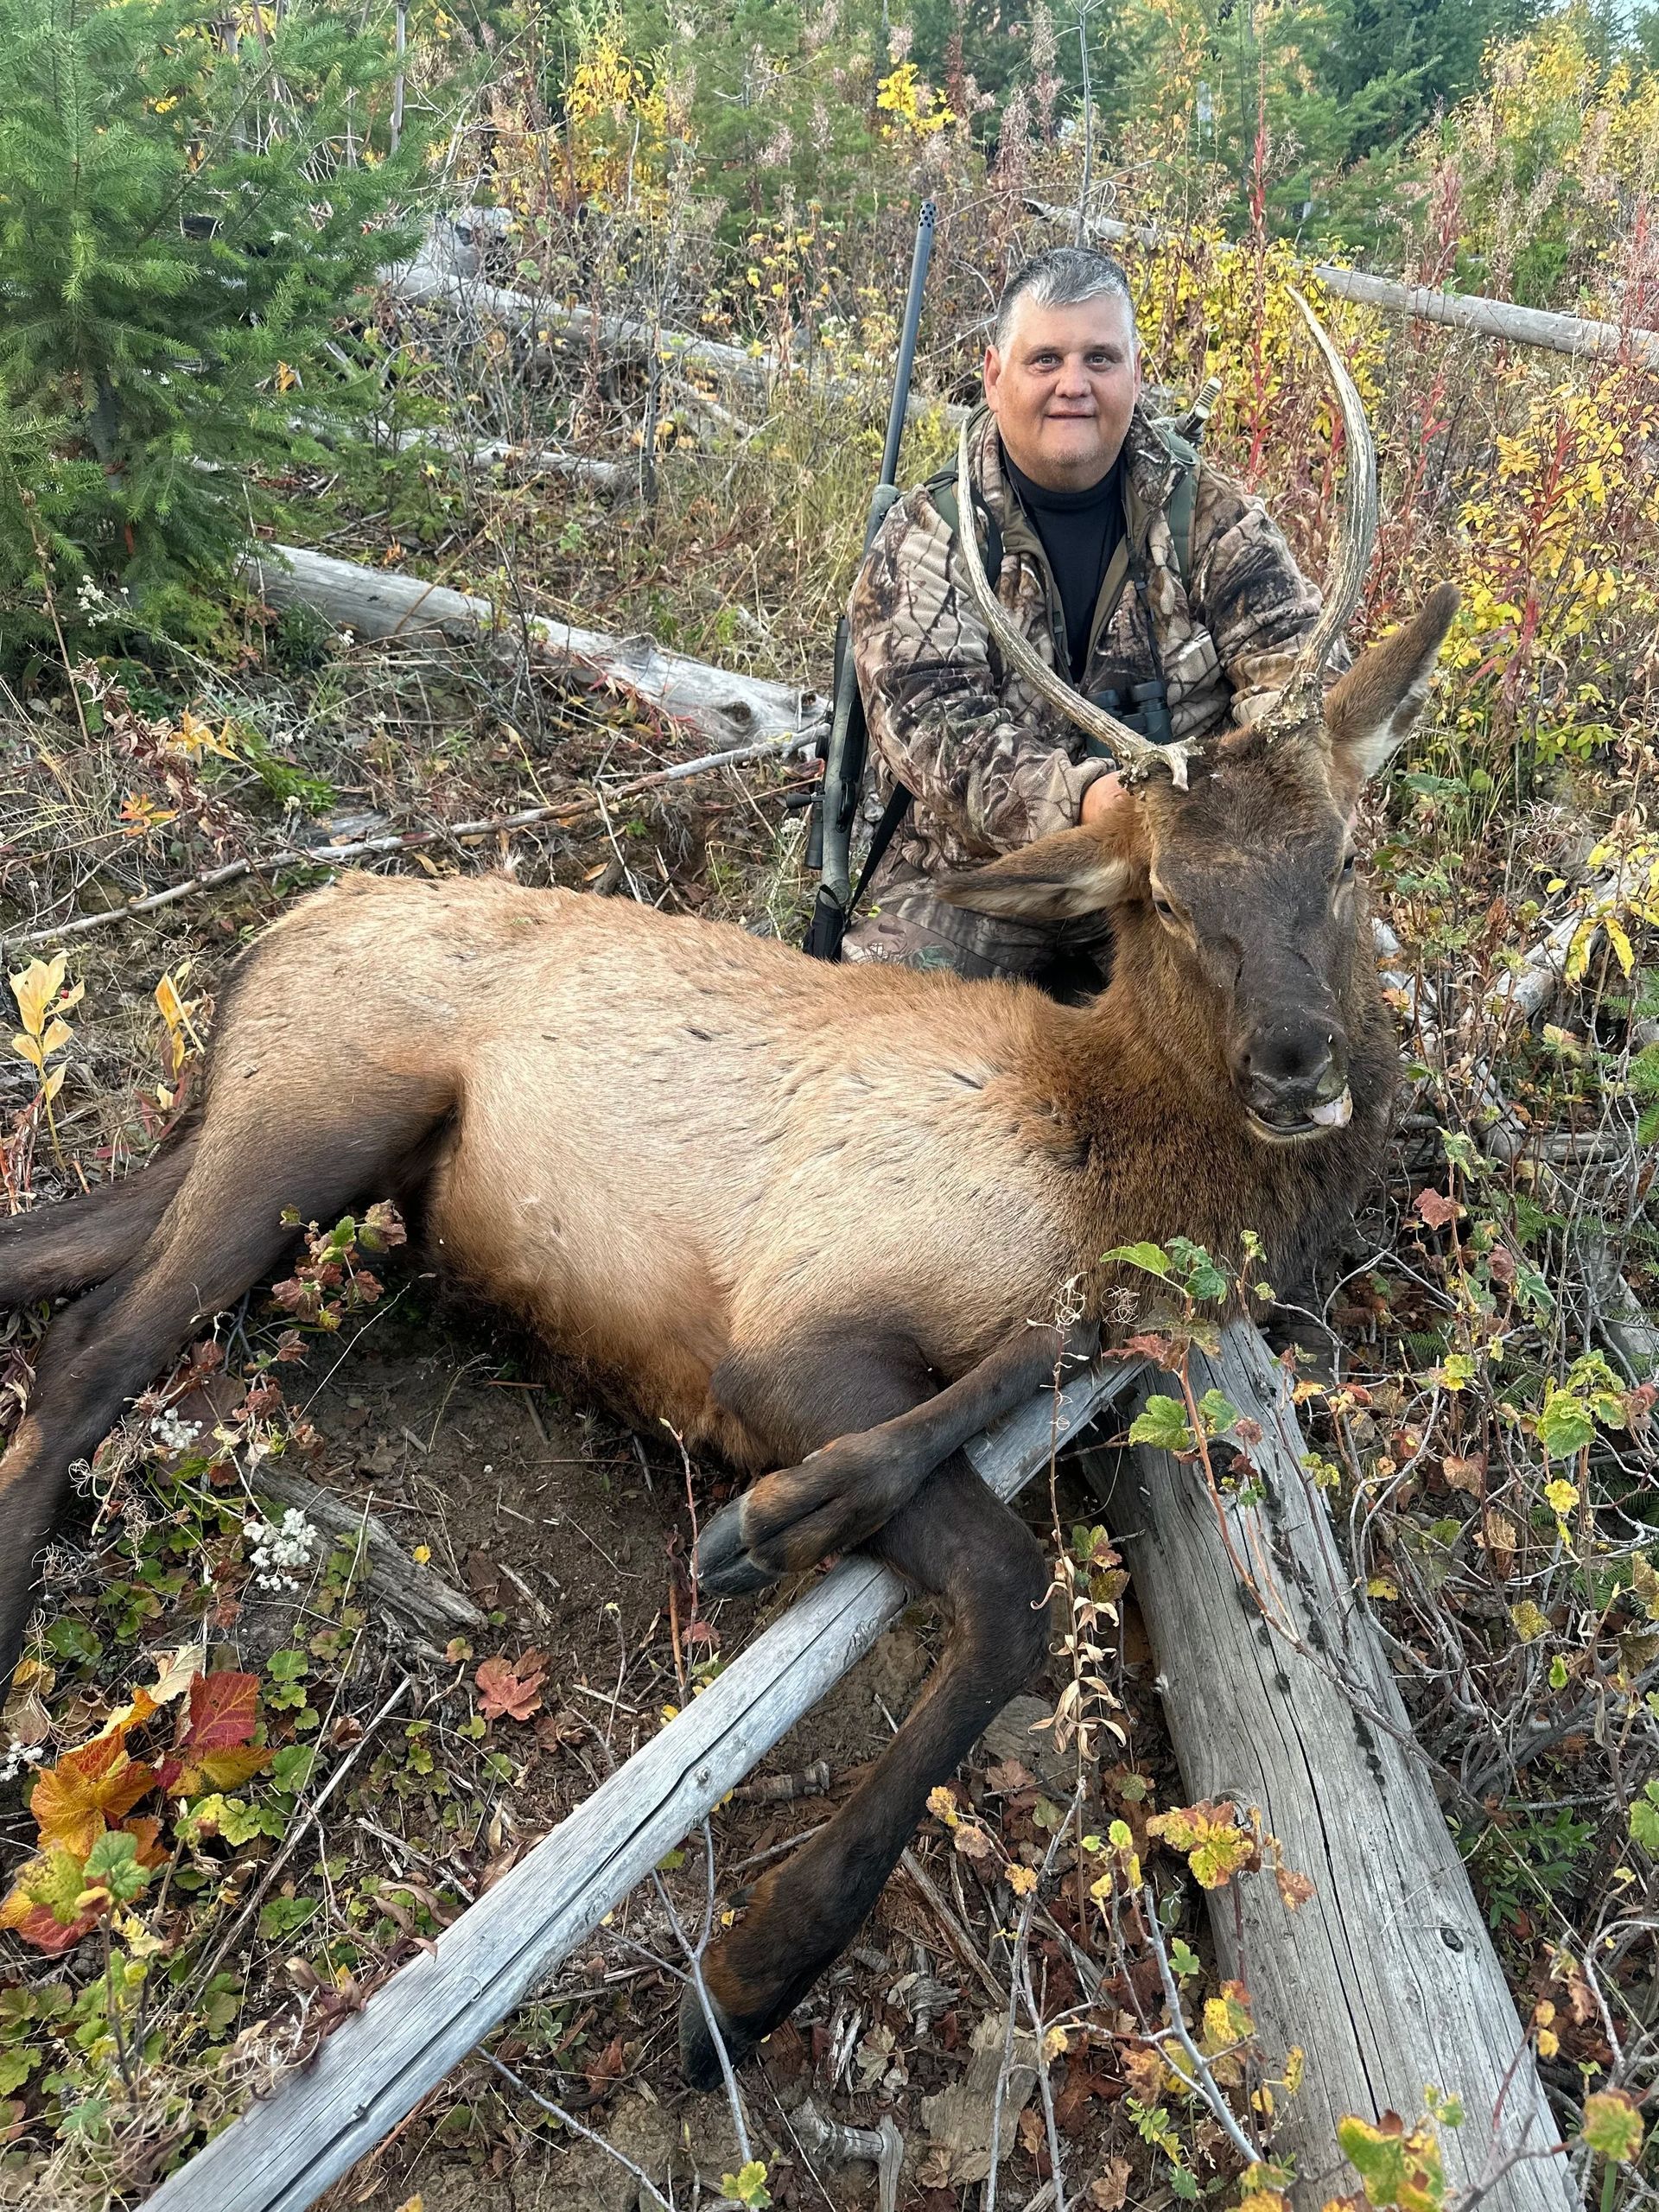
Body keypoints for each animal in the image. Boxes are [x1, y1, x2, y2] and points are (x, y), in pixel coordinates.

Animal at [0, 298, 1457, 2086]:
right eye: (1167, 896)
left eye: (1346, 851)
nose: (1301, 1067)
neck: (1104, 1155)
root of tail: (273, 936)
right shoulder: (793, 1324)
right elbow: (1004, 1579)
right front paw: (753, 1961)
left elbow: (1024, 1388)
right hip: (325, 1109)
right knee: (92, 1355)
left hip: (241, 1136)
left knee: (49, 1262)